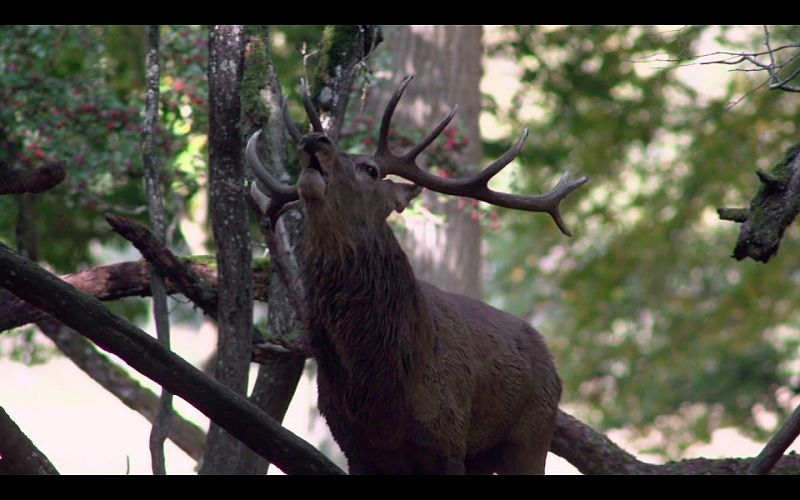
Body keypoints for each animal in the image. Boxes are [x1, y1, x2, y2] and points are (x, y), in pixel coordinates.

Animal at [245, 75, 588, 472]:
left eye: (371, 169)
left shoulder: (448, 438)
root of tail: (551, 361)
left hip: (532, 432)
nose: (314, 140)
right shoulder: (354, 447)